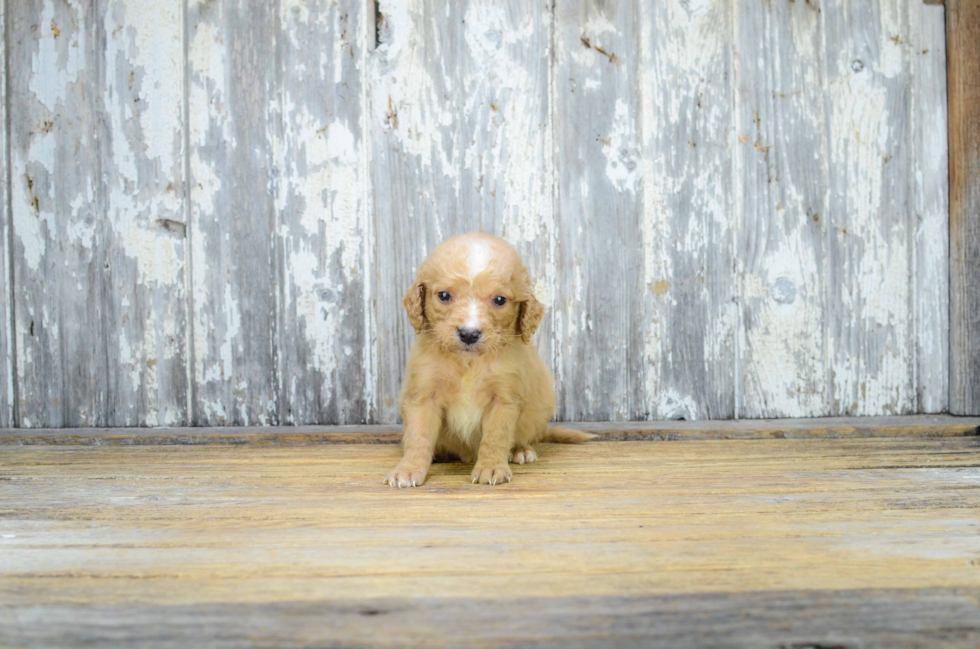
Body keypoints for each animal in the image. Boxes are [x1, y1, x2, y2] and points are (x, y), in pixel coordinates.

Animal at [384, 233, 592, 486]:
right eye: (444, 296)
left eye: (500, 300)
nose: (469, 334)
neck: (469, 362)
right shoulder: (423, 396)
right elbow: (418, 436)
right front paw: (408, 469)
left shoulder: (504, 399)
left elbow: (496, 436)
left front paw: (492, 468)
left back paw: (520, 451)